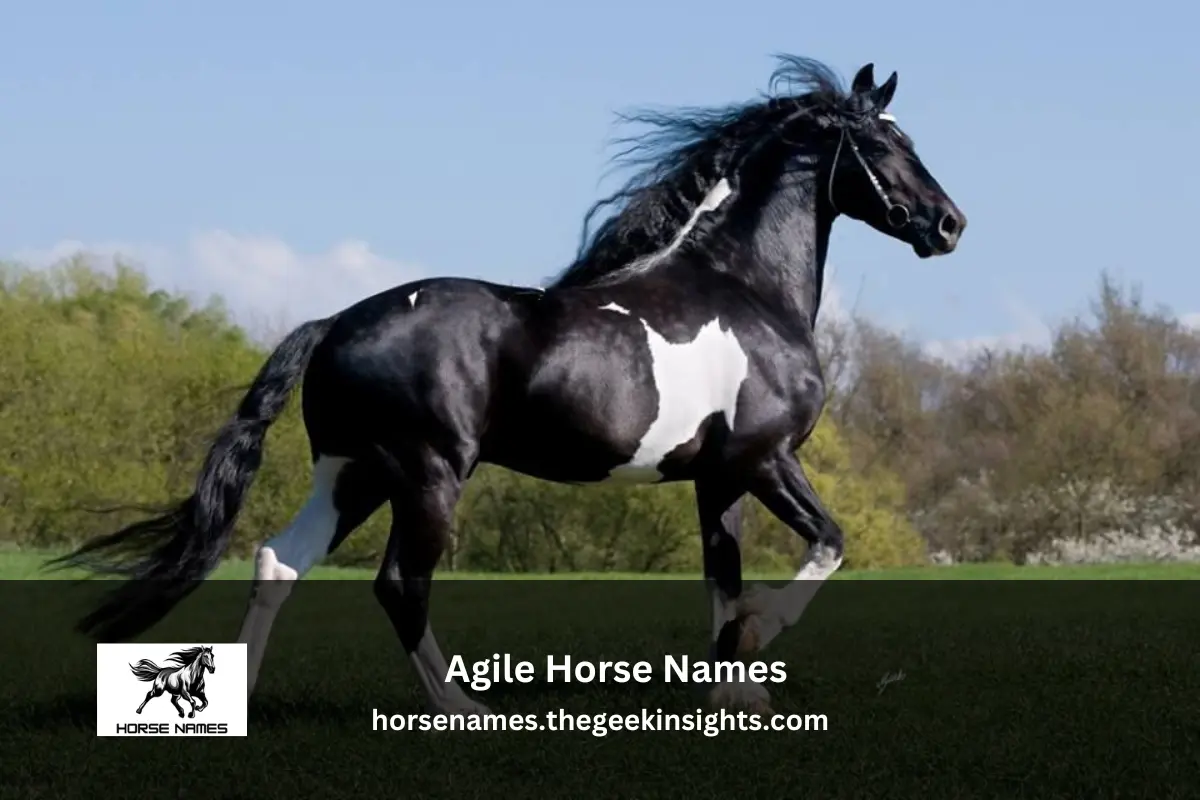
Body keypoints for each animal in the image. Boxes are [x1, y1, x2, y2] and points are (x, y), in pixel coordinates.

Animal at [50, 55, 965, 715]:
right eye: (885, 146)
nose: (950, 224)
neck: (740, 287)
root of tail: (335, 322)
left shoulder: (717, 478)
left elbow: (723, 579)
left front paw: (735, 697)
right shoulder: (765, 458)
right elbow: (827, 545)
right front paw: (757, 647)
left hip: (353, 472)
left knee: (280, 561)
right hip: (424, 475)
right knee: (397, 584)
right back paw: (462, 708)